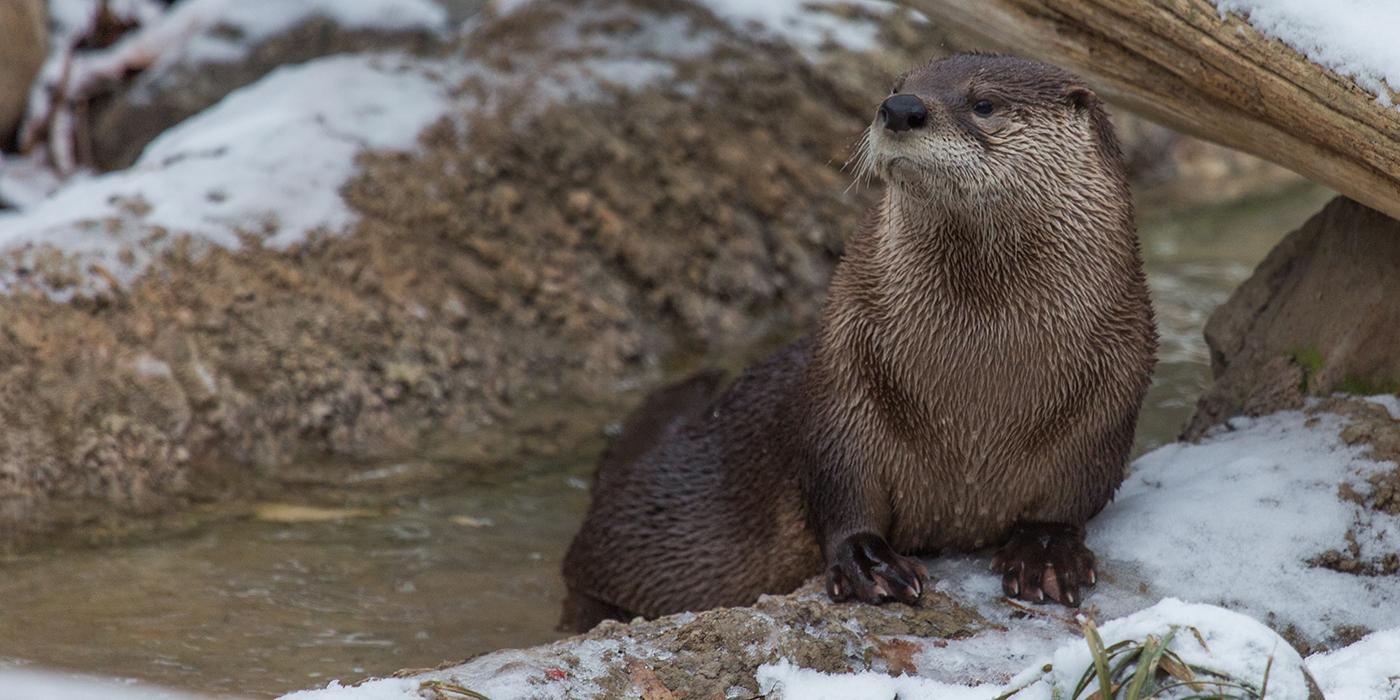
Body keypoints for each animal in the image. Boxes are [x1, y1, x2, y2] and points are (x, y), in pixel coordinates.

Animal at [557, 54, 1159, 632]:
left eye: (984, 103)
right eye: (896, 84)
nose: (901, 109)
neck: (975, 400)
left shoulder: (1109, 397)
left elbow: (1071, 494)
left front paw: (1045, 552)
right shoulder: (844, 377)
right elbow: (840, 486)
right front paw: (868, 562)